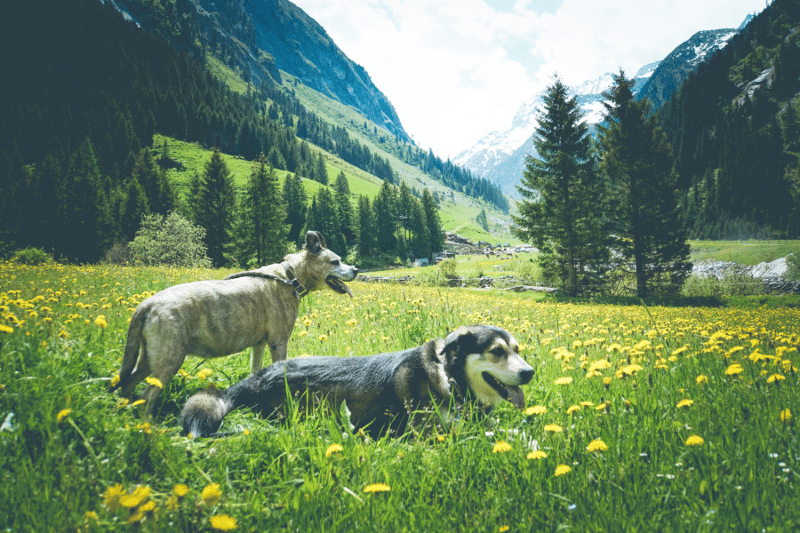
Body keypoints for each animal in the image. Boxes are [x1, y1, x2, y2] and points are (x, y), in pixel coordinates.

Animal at [111, 231, 358, 414]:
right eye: (335, 261)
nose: (356, 269)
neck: (290, 275)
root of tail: (147, 304)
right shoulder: (278, 342)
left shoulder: (259, 344)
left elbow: (256, 370)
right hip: (169, 359)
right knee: (146, 397)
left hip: (149, 358)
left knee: (129, 385)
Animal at [180, 324, 532, 436]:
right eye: (497, 351)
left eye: (517, 349)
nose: (529, 373)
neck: (451, 378)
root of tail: (256, 379)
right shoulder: (436, 434)